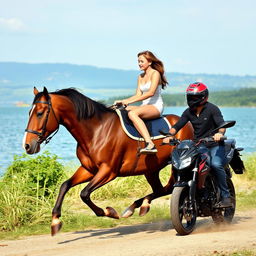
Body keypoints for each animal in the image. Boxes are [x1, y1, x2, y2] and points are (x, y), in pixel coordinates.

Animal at [23, 87, 193, 235]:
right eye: (29, 112)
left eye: (39, 113)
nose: (27, 145)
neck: (95, 131)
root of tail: (185, 122)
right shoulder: (88, 169)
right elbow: (65, 186)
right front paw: (55, 221)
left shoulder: (108, 171)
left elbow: (84, 193)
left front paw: (108, 211)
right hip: (151, 169)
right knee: (162, 189)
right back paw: (137, 206)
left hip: (174, 165)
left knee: (169, 188)